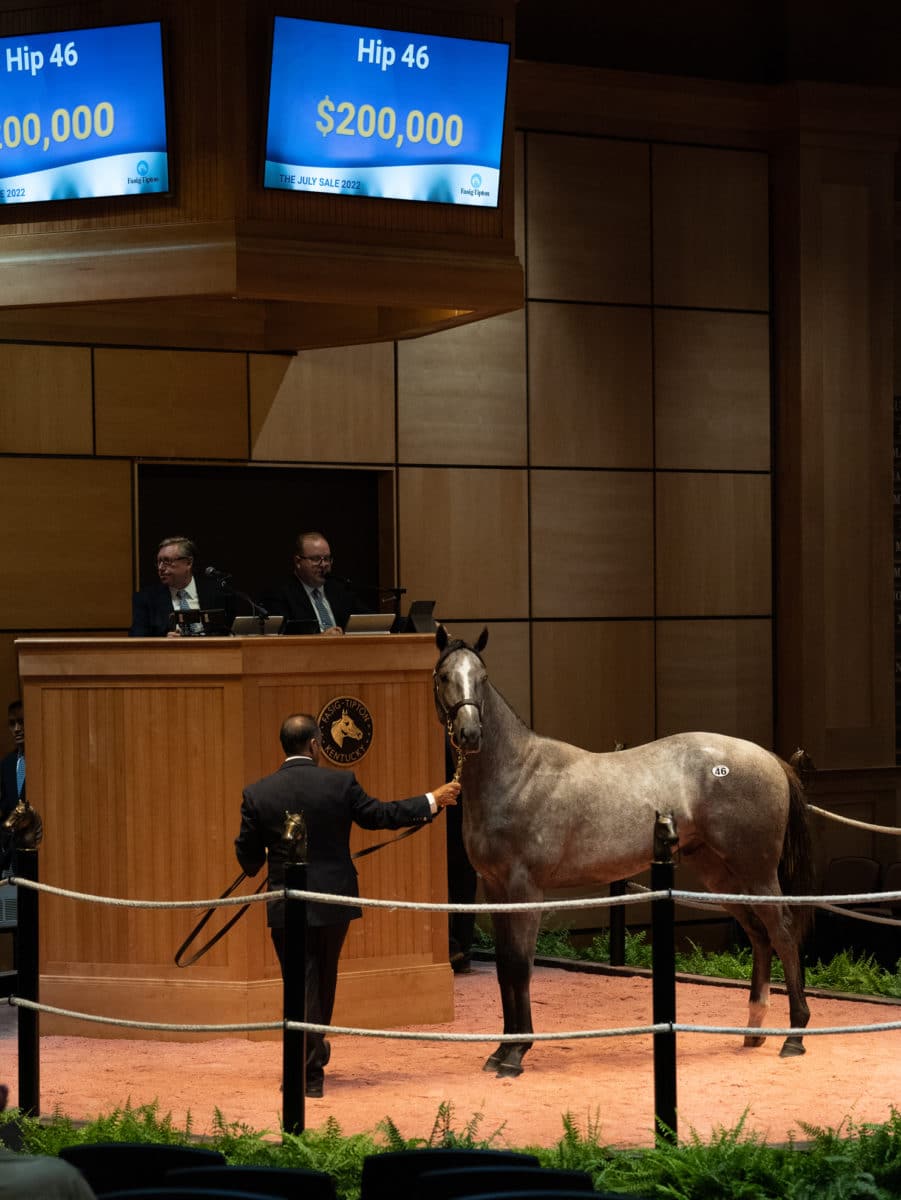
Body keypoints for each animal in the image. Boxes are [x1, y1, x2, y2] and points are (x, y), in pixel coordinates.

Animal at [434, 628, 815, 1080]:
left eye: (483, 676)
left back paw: (795, 1036)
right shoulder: (494, 889)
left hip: (756, 872)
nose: (469, 734)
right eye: (444, 676)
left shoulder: (525, 889)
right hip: (721, 876)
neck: (517, 775)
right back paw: (754, 1029)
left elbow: (520, 965)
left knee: (783, 933)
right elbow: (504, 968)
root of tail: (770, 758)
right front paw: (501, 1050)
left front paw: (516, 1055)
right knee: (759, 936)